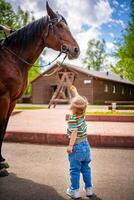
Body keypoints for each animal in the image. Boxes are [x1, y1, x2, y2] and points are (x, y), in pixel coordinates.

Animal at [0, 1, 79, 177]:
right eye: (59, 25)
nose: (76, 50)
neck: (13, 60)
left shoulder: (12, 101)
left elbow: (3, 129)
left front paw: (0, 162)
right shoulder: (4, 98)